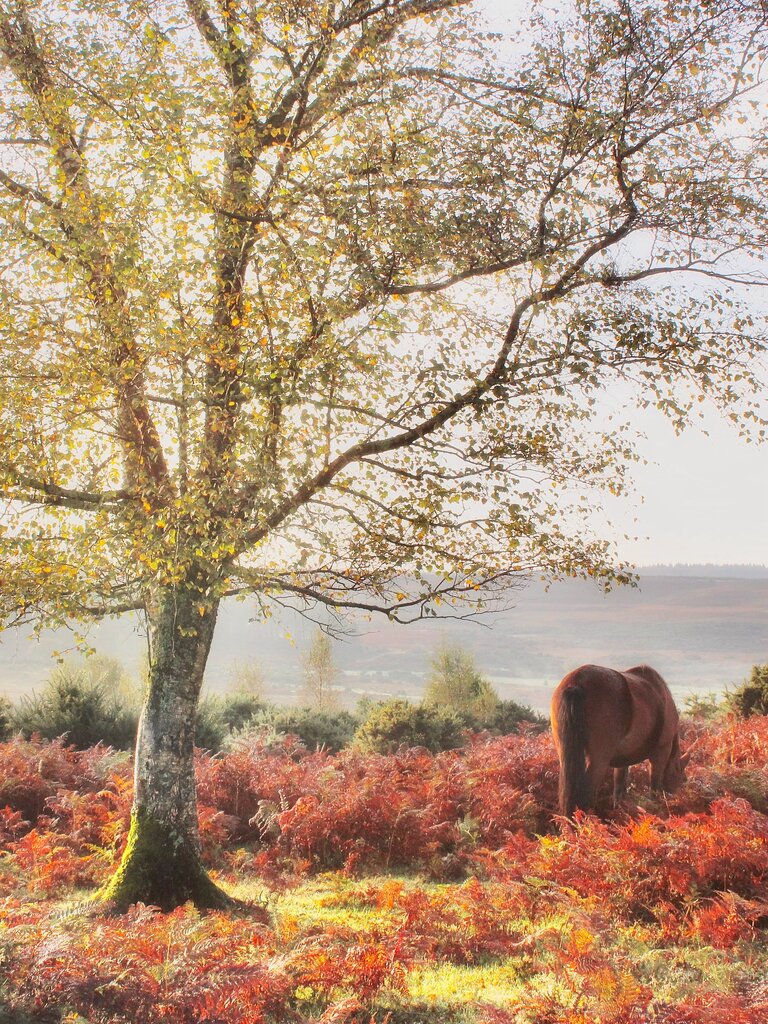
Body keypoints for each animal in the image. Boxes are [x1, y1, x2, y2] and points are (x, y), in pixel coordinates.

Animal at [550, 664, 689, 816]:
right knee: (586, 794)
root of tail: (576, 682)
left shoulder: (623, 761)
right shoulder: (661, 752)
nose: (678, 797)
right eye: (680, 777)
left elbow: (618, 789)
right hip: (599, 760)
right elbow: (654, 788)